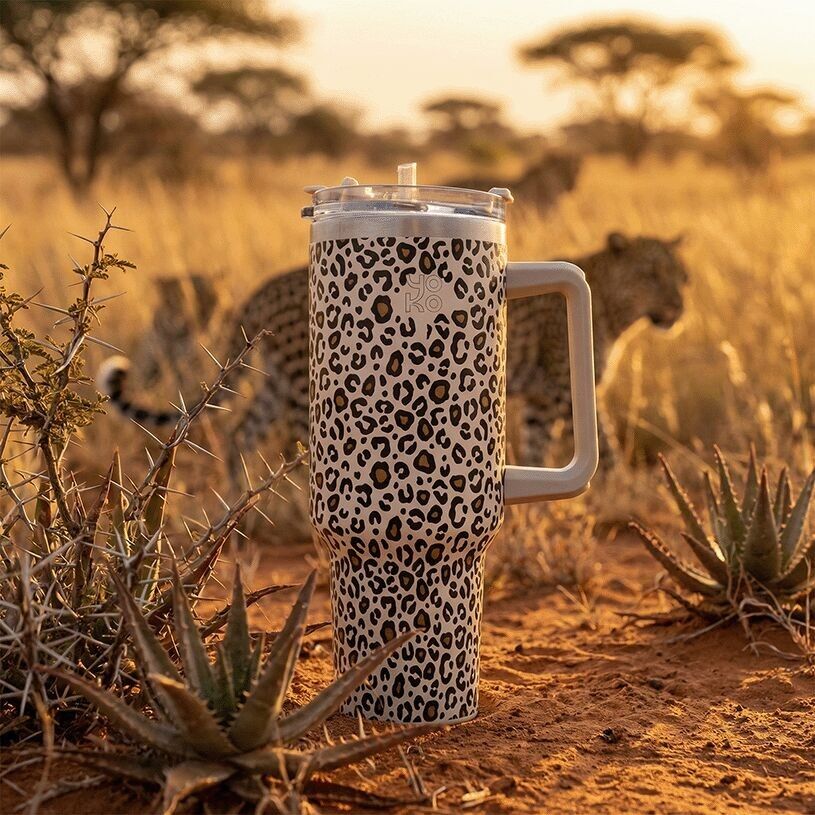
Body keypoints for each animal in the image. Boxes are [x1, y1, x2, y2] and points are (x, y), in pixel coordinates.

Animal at [97, 231, 687, 475]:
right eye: (653, 274)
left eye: (680, 275)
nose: (680, 308)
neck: (613, 304)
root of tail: (256, 291)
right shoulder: (563, 391)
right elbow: (608, 447)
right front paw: (626, 494)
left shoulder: (542, 401)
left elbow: (542, 453)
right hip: (311, 385)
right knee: (298, 444)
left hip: (275, 382)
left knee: (242, 434)